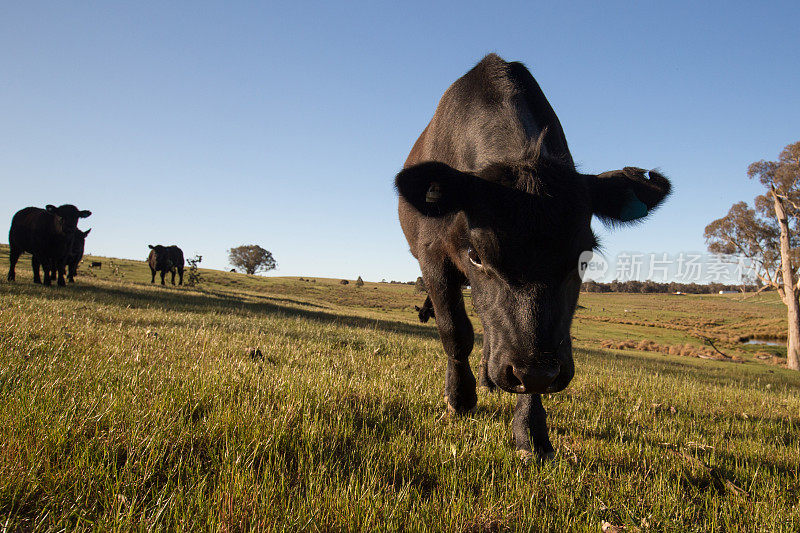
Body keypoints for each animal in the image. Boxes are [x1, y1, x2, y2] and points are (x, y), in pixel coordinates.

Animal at [394, 55, 668, 462]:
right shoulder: (432, 256)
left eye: (584, 257)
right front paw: (458, 399)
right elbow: (455, 331)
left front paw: (531, 434)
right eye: (475, 254)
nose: (535, 372)